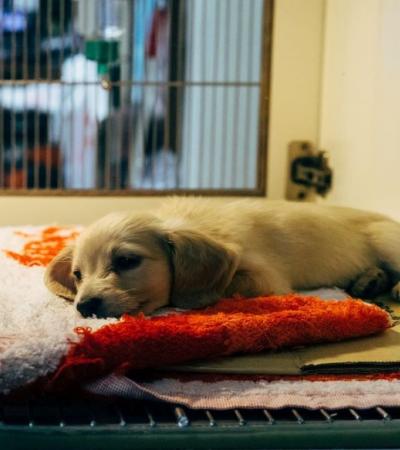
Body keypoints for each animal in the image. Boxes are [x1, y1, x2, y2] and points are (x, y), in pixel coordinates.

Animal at [44, 199, 400, 318]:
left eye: (127, 261)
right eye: (77, 275)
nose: (84, 307)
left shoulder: (266, 278)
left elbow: (227, 285)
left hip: (387, 241)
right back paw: (370, 280)